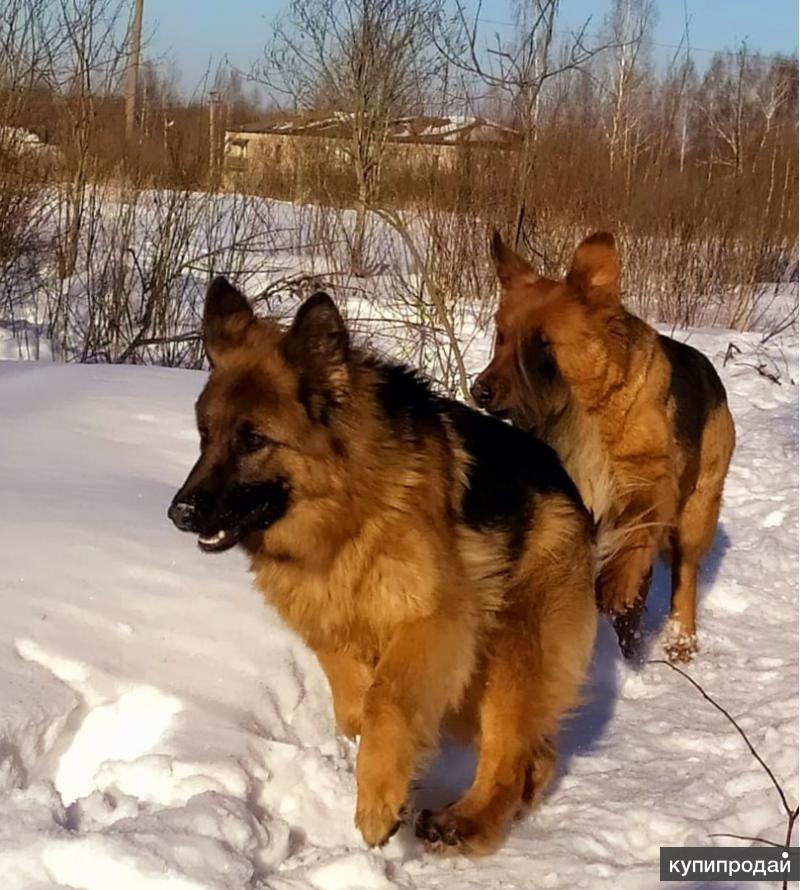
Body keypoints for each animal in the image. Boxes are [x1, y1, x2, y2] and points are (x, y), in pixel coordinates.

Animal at [167, 278, 592, 852]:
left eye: (253, 440)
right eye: (204, 436)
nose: (180, 513)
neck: (351, 514)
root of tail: (561, 474)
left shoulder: (434, 622)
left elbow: (386, 699)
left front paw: (377, 801)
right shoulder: (334, 623)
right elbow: (354, 696)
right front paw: (378, 763)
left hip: (509, 646)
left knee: (509, 752)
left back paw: (468, 820)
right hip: (469, 686)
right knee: (537, 753)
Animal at [472, 232, 736, 664]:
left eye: (543, 344)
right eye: (501, 336)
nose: (479, 391)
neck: (590, 412)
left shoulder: (649, 482)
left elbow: (633, 536)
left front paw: (616, 585)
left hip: (698, 511)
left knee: (685, 576)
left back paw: (679, 638)